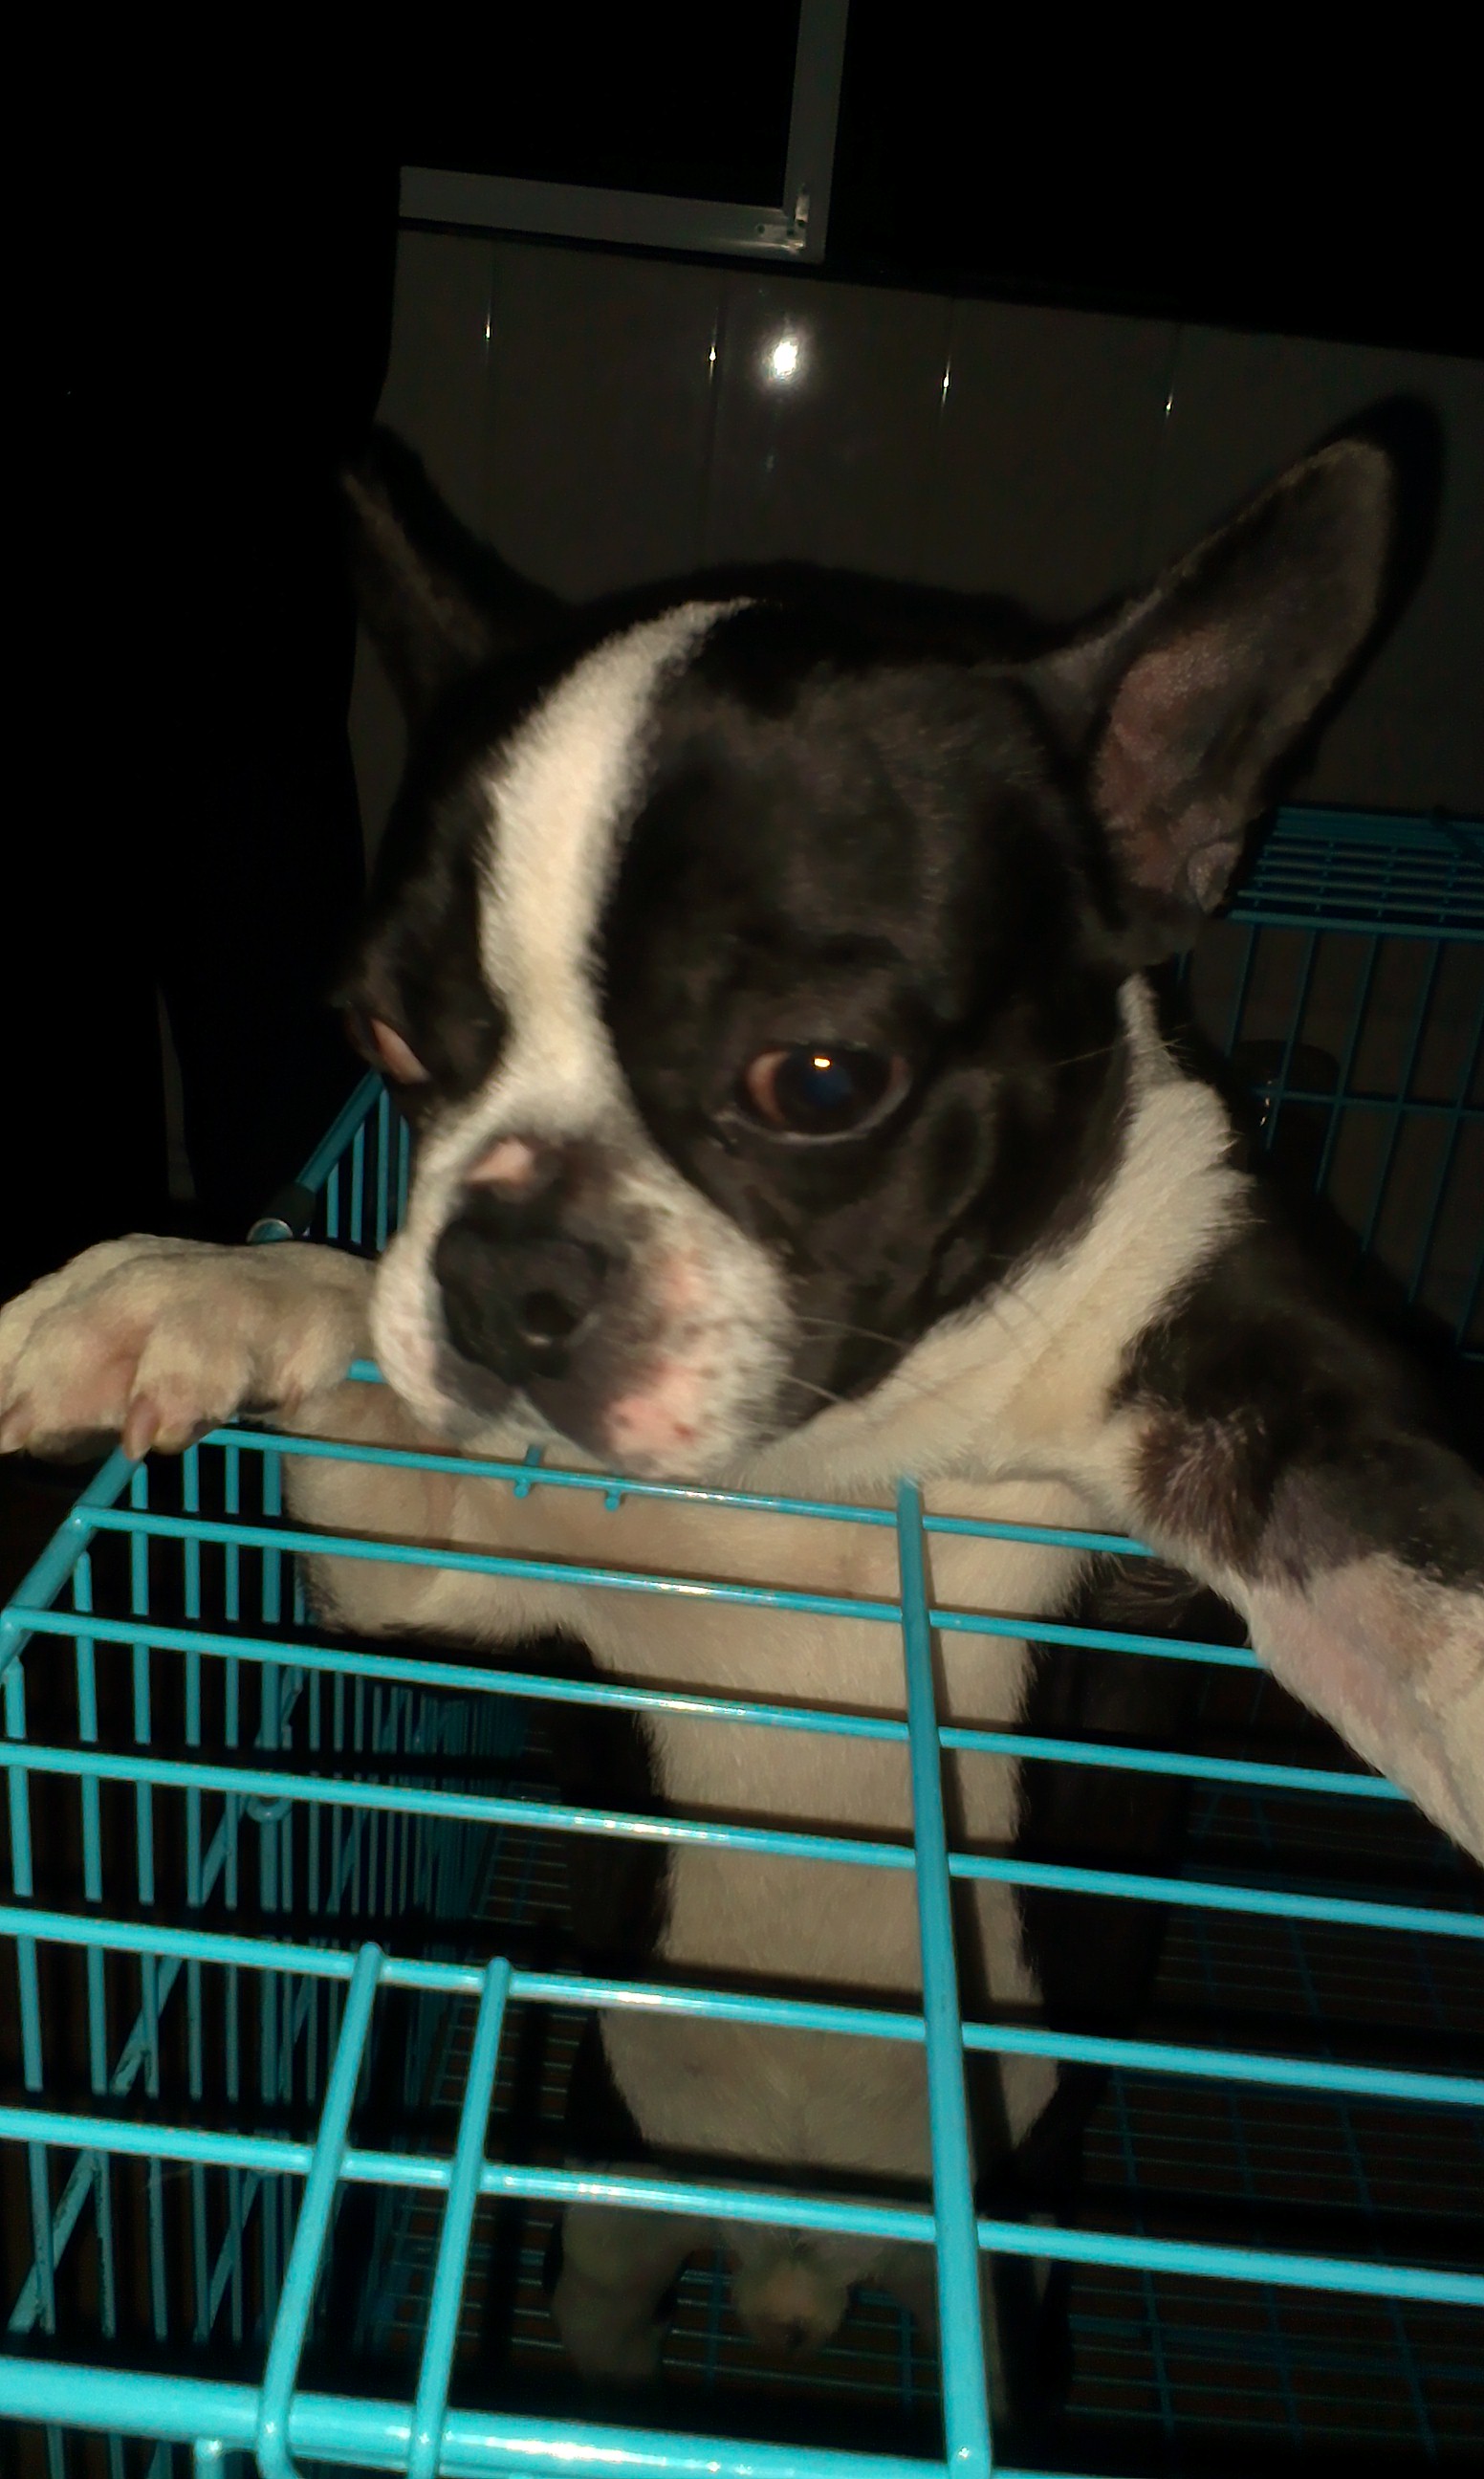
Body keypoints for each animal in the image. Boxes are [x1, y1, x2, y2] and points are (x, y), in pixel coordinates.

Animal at [2, 417, 1481, 2426]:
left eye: (821, 1080)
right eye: (385, 1043)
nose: (503, 1269)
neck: (822, 1462)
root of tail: (801, 2262)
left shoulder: (1275, 1420)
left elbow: (1423, 1612)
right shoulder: (425, 1554)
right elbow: (353, 1358)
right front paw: (191, 1287)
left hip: (1000, 2304)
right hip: (608, 2226)